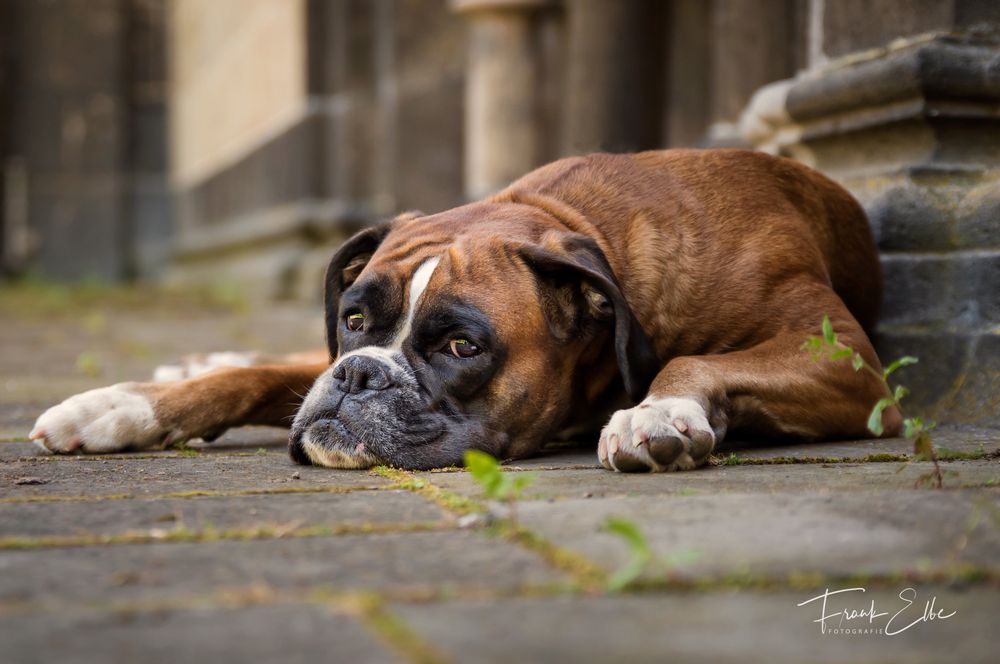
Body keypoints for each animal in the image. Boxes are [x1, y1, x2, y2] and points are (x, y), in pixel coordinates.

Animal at [27, 150, 904, 472]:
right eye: (353, 322)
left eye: (459, 347)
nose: (359, 376)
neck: (586, 228)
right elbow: (257, 376)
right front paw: (118, 406)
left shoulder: (848, 365)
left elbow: (692, 359)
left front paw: (659, 413)